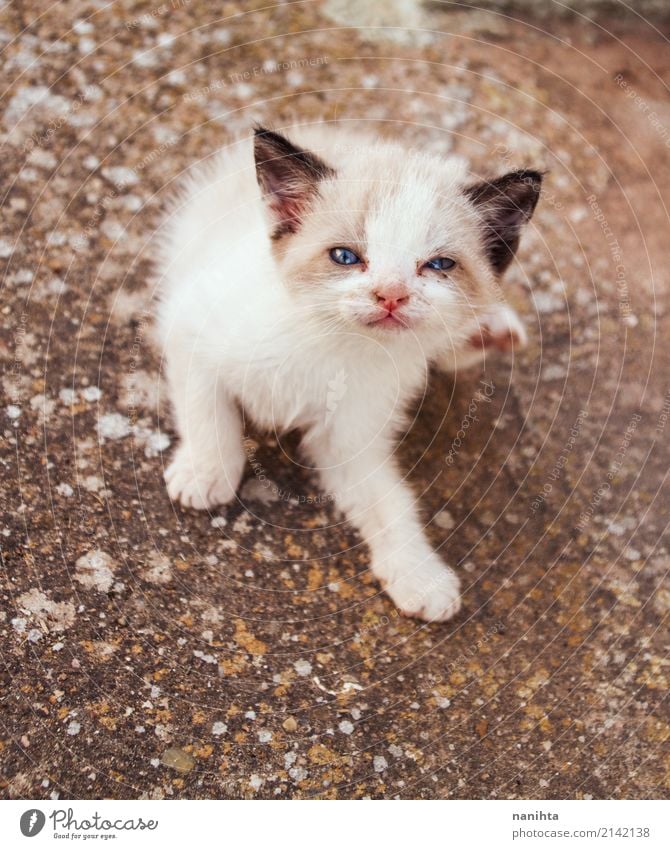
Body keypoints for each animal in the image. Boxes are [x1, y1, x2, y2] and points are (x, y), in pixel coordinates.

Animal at [156, 122, 540, 620]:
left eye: (438, 265)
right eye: (344, 257)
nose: (391, 294)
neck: (335, 342)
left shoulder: (349, 439)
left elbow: (390, 502)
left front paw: (419, 575)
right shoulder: (189, 323)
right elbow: (208, 410)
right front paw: (205, 472)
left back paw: (488, 332)